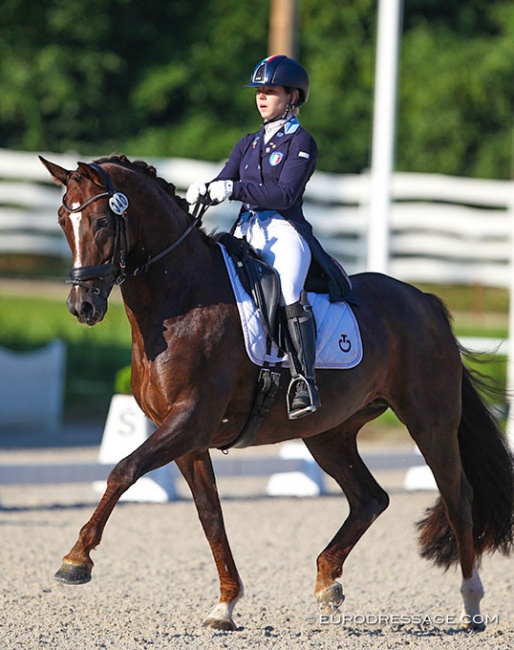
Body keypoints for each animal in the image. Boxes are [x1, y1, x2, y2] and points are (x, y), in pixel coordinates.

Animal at [40, 154, 512, 632]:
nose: (82, 307)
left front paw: (76, 560)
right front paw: (225, 604)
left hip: (430, 421)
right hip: (329, 433)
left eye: (101, 221)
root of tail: (423, 301)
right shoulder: (185, 436)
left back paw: (471, 605)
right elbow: (210, 514)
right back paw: (327, 584)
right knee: (370, 498)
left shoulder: (190, 420)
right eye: (62, 218)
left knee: (457, 498)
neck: (180, 302)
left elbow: (123, 470)